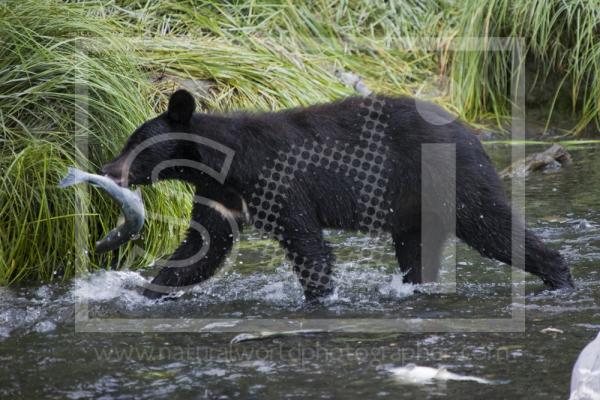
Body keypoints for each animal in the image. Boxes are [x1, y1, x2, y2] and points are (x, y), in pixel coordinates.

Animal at [101, 88, 576, 300]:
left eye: (135, 143)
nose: (108, 169)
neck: (226, 164)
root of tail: (472, 133)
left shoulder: (279, 183)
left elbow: (307, 244)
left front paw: (318, 298)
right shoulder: (221, 197)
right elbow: (203, 246)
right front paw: (148, 289)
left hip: (454, 182)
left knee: (491, 224)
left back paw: (560, 278)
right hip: (415, 209)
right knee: (418, 251)